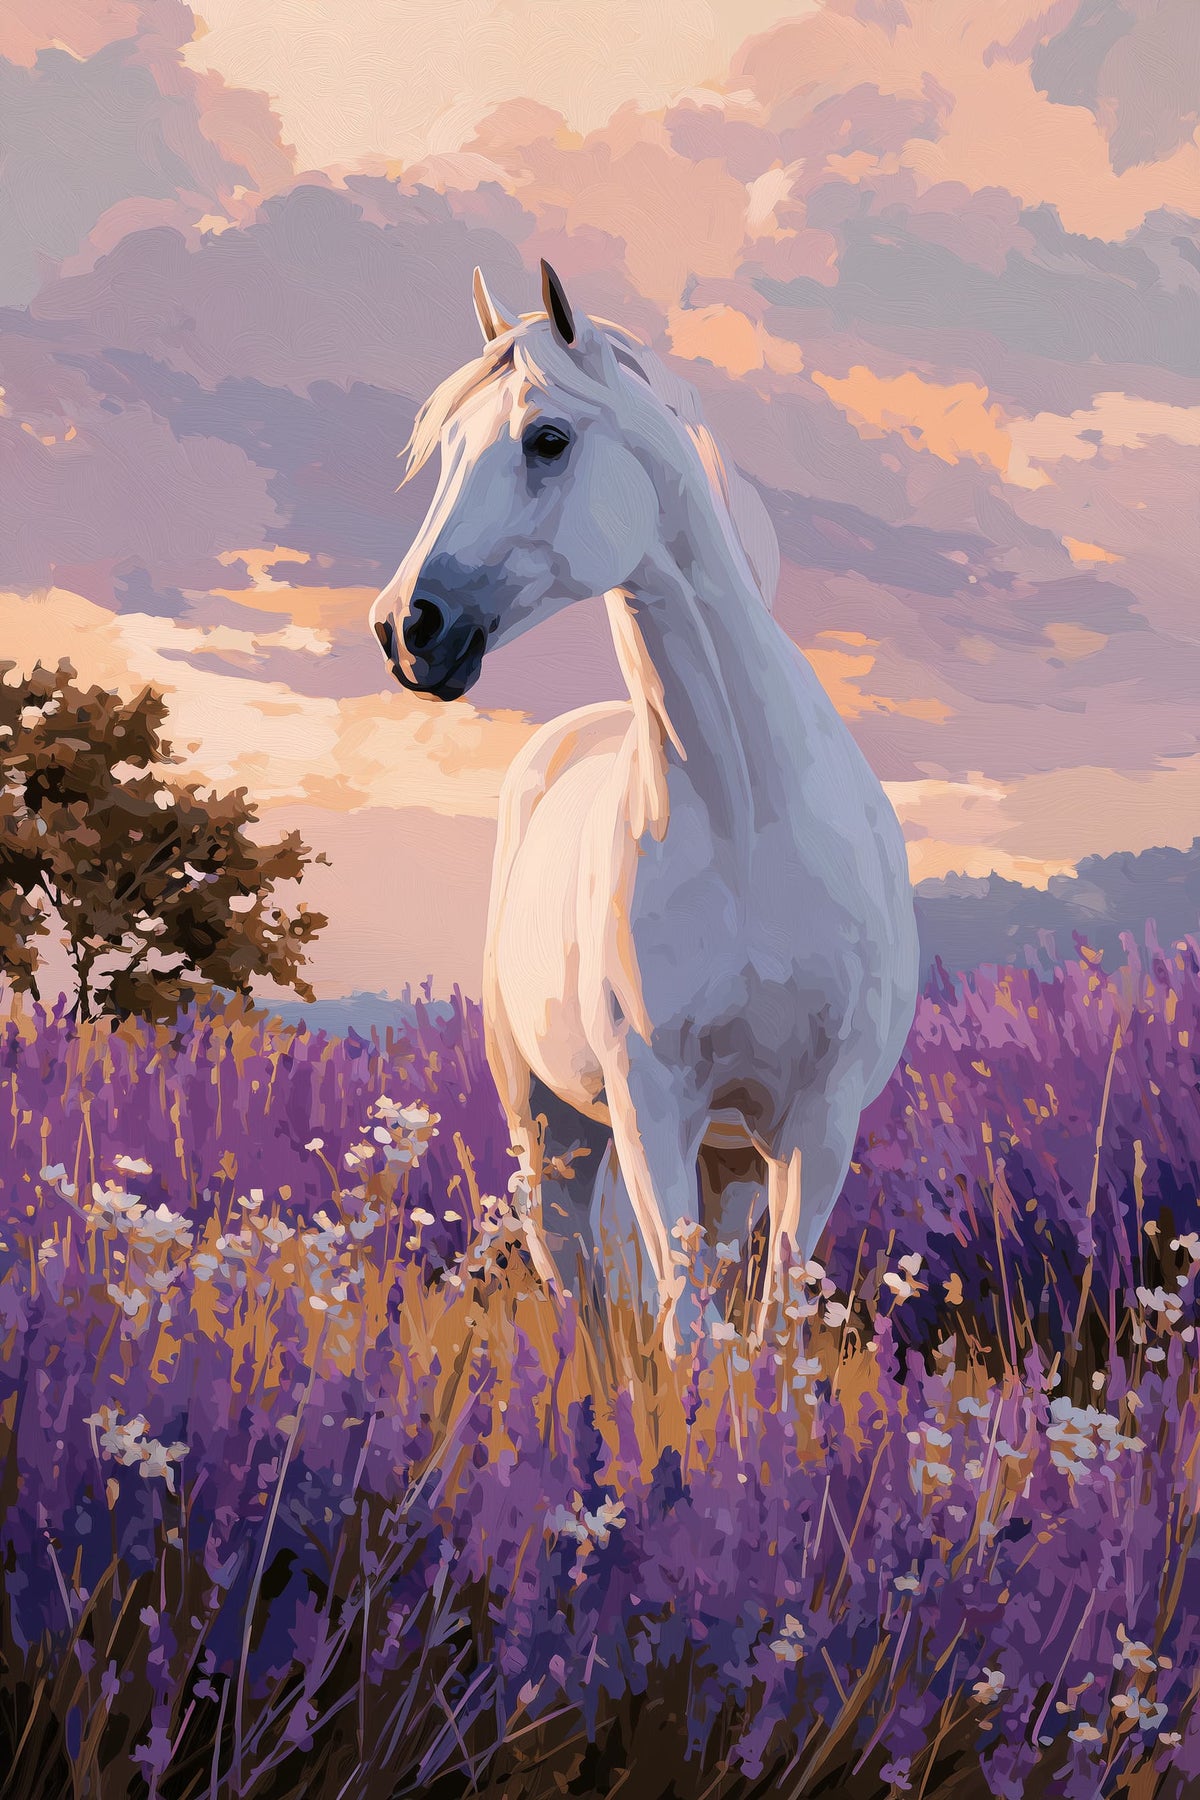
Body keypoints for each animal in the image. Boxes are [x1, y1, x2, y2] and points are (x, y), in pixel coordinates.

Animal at [370, 261, 919, 1356]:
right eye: (445, 450)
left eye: (547, 438)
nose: (408, 628)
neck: (750, 820)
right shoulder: (651, 1103)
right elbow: (682, 1326)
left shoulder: (814, 1122)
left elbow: (772, 1328)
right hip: (556, 1131)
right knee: (579, 1289)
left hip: (731, 1159)